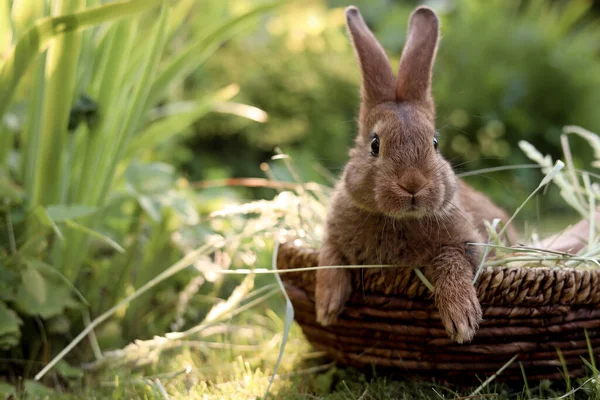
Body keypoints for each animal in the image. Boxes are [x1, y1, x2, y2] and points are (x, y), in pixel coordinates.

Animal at [316, 5, 516, 344]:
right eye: (375, 144)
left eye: (434, 142)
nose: (413, 184)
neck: (399, 220)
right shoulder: (332, 235)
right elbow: (329, 255)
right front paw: (326, 308)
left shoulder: (465, 244)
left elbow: (451, 262)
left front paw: (462, 321)